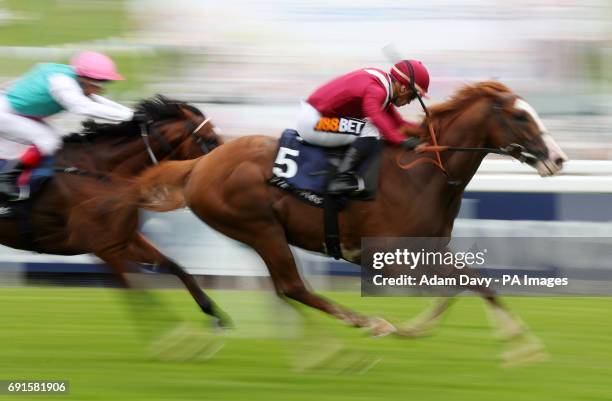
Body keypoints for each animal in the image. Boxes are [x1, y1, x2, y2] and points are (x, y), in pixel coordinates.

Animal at [0, 96, 230, 324]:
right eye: (210, 139)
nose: (222, 170)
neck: (99, 172)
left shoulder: (123, 239)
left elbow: (174, 266)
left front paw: (212, 311)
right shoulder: (103, 247)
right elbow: (138, 293)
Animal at [111, 82, 568, 344]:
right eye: (520, 115)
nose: (559, 158)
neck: (424, 175)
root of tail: (201, 164)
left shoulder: (431, 249)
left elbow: (471, 283)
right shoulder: (390, 258)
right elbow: (464, 283)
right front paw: (520, 344)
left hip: (256, 234)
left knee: (283, 290)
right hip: (261, 228)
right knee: (292, 286)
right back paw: (362, 326)